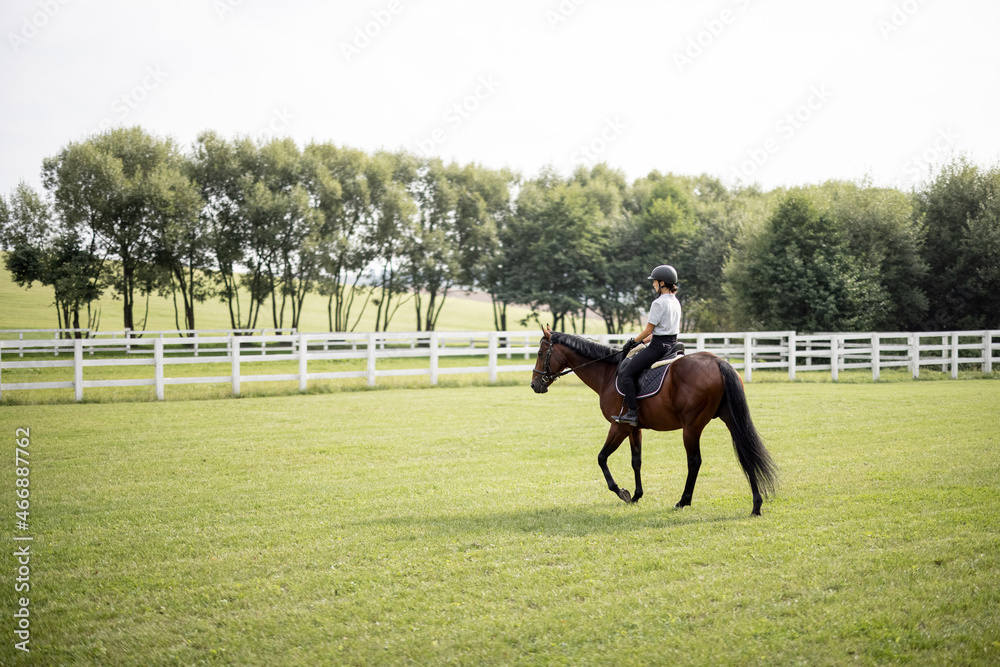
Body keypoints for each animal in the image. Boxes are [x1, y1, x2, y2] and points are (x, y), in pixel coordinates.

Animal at [528, 328, 776, 516]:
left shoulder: (618, 426)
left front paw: (621, 492)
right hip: (731, 420)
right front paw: (637, 495)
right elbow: (636, 460)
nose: (534, 385)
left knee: (694, 461)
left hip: (691, 427)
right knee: (745, 453)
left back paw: (683, 500)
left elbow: (601, 458)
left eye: (540, 353)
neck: (608, 373)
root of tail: (718, 363)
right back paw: (756, 505)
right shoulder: (633, 427)